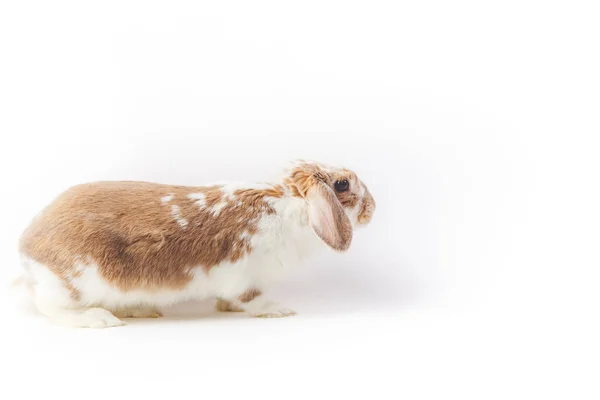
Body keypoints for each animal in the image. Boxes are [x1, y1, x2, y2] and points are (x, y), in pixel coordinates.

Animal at [17, 160, 376, 328]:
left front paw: (228, 309)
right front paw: (278, 309)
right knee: (48, 306)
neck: (290, 206)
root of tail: (29, 245)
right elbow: (252, 299)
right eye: (342, 184)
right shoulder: (243, 276)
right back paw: (98, 319)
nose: (372, 208)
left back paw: (140, 309)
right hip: (73, 284)